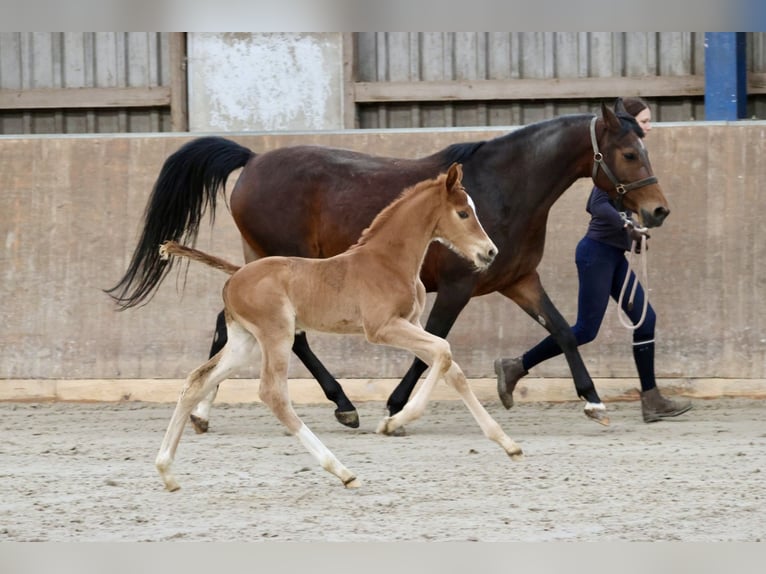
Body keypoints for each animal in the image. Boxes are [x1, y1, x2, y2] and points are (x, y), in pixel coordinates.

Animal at [108, 100, 672, 432]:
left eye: (642, 148)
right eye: (627, 153)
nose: (657, 212)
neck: (502, 189)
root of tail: (252, 161)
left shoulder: (517, 280)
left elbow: (563, 329)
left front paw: (591, 400)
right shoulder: (458, 287)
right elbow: (431, 347)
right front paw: (397, 406)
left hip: (264, 268)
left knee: (229, 326)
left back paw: (204, 411)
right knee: (290, 337)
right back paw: (342, 405)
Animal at [153, 164, 524, 492]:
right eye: (462, 213)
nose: (490, 252)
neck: (388, 262)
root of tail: (234, 276)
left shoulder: (411, 323)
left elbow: (452, 369)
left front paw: (508, 444)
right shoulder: (383, 328)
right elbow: (443, 352)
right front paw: (392, 422)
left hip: (245, 342)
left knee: (196, 381)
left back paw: (167, 472)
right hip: (276, 335)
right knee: (273, 394)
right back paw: (342, 471)